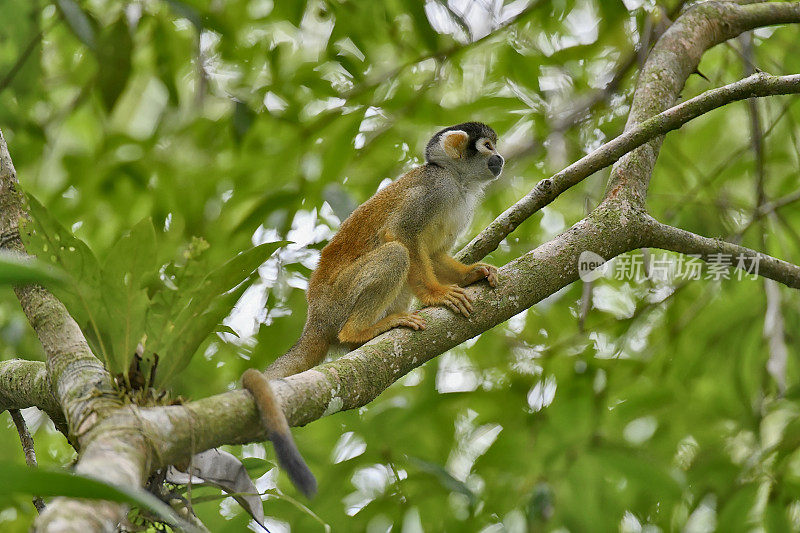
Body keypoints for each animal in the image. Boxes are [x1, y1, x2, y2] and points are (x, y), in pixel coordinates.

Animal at [244, 120, 504, 494]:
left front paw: (473, 273)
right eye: (487, 146)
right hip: (338, 300)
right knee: (395, 253)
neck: (457, 183)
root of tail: (315, 319)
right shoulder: (432, 190)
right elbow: (403, 236)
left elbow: (435, 253)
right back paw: (359, 332)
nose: (500, 158)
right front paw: (437, 295)